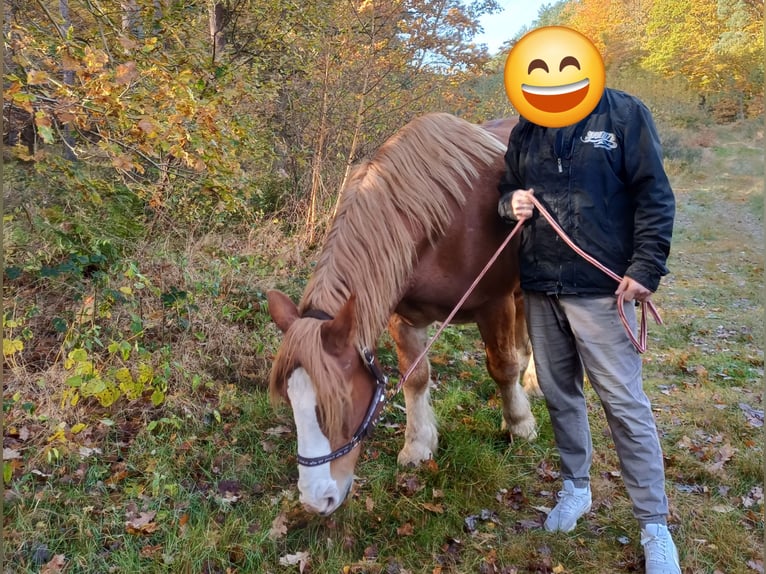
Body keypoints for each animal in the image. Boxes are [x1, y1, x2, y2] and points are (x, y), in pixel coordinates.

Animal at [266, 112, 537, 515]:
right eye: (290, 400)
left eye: (340, 404)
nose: (317, 500)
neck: (446, 218)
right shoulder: (405, 318)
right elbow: (416, 378)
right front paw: (418, 445)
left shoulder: (495, 303)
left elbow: (502, 368)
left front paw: (519, 423)